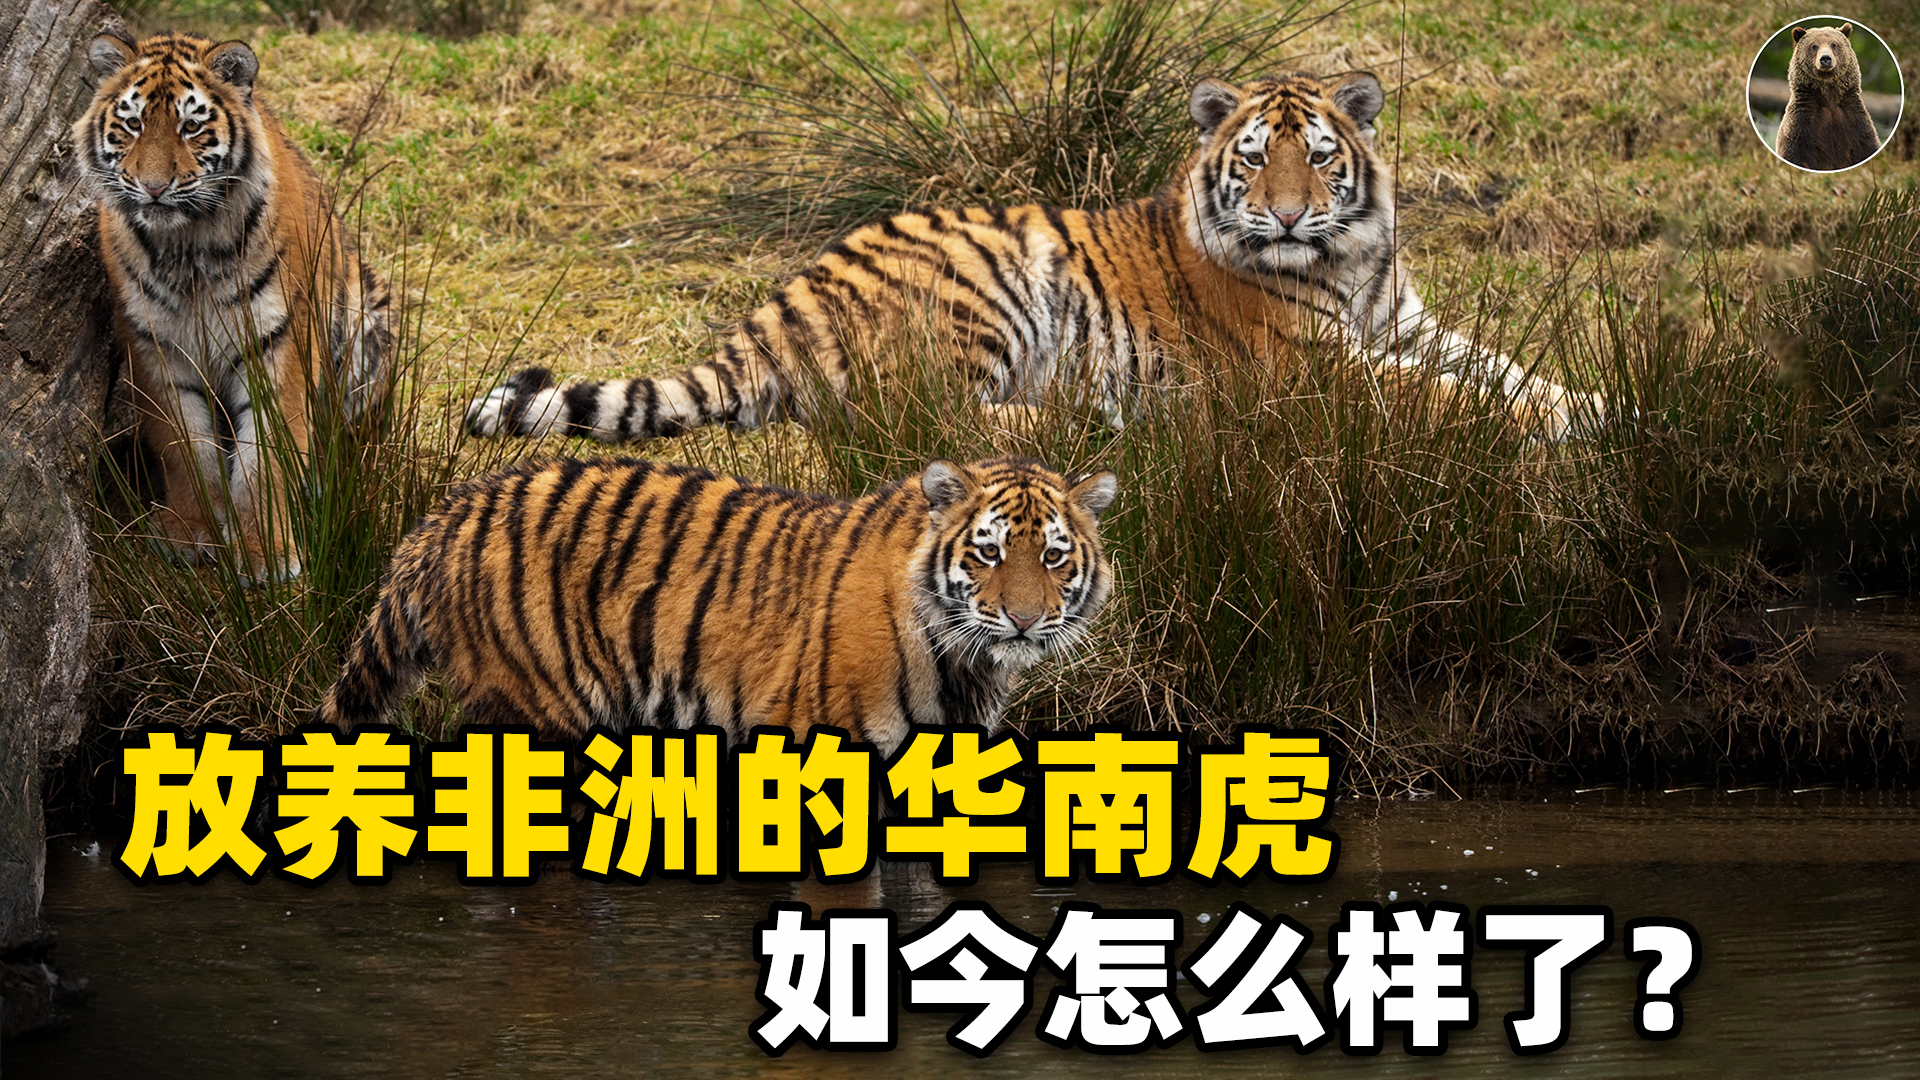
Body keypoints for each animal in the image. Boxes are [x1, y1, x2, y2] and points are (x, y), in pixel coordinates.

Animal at [77, 30, 392, 578]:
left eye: (191, 126)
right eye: (133, 124)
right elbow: (184, 446)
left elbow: (266, 455)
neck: (186, 247)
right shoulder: (154, 345)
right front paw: (191, 532)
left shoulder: (278, 342)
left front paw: (264, 554)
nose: (153, 188)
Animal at [318, 456, 1117, 754]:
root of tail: (446, 513)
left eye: (1052, 557)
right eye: (988, 553)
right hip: (541, 713)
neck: (963, 664)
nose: (1022, 619)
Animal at [465, 71, 1602, 445]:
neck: (1351, 260)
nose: (1285, 219)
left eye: (1319, 158)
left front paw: (1595, 405)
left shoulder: (1409, 325)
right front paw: (1555, 423)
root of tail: (781, 299)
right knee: (919, 417)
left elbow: (1506, 367)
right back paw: (1095, 416)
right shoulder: (1311, 365)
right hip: (994, 279)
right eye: (1253, 160)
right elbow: (1442, 396)